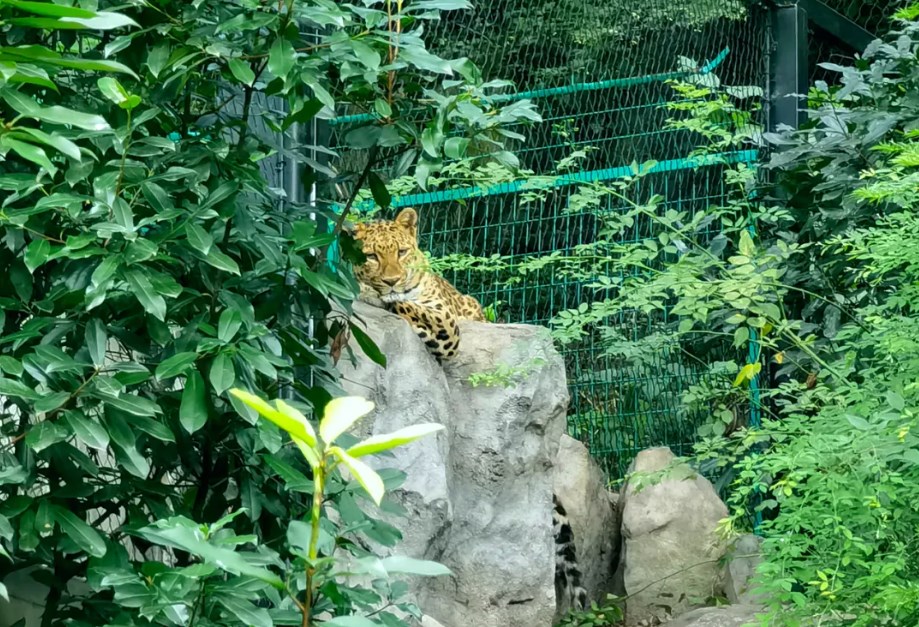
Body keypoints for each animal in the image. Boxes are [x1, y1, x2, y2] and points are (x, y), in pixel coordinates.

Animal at [349, 207, 588, 613]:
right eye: (371, 256)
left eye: (401, 251)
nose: (391, 279)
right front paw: (370, 289)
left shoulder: (446, 323)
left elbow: (406, 304)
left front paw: (381, 295)